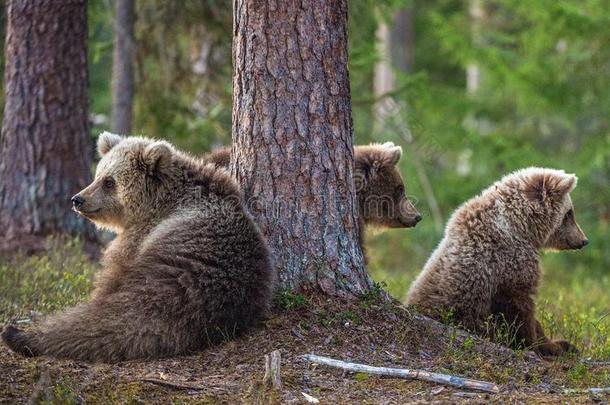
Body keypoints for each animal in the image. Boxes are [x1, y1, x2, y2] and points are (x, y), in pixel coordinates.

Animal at [1, 133, 274, 362]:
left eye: (109, 182)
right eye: (98, 175)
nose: (77, 199)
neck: (159, 202)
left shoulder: (140, 237)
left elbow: (112, 276)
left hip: (175, 269)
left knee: (121, 316)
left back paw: (19, 334)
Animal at [406, 167, 588, 356]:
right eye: (569, 213)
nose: (583, 240)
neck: (521, 227)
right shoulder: (507, 264)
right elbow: (519, 310)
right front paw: (548, 345)